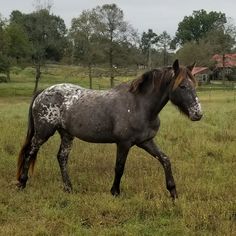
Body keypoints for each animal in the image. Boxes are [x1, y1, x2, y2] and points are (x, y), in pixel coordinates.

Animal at [15, 59, 202, 199]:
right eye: (182, 86)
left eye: (194, 85)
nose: (198, 113)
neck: (139, 105)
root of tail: (42, 92)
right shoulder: (124, 143)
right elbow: (119, 167)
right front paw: (115, 192)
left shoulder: (146, 141)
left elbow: (165, 160)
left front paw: (173, 192)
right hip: (43, 133)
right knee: (30, 153)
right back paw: (22, 183)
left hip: (67, 134)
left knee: (61, 157)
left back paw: (69, 188)